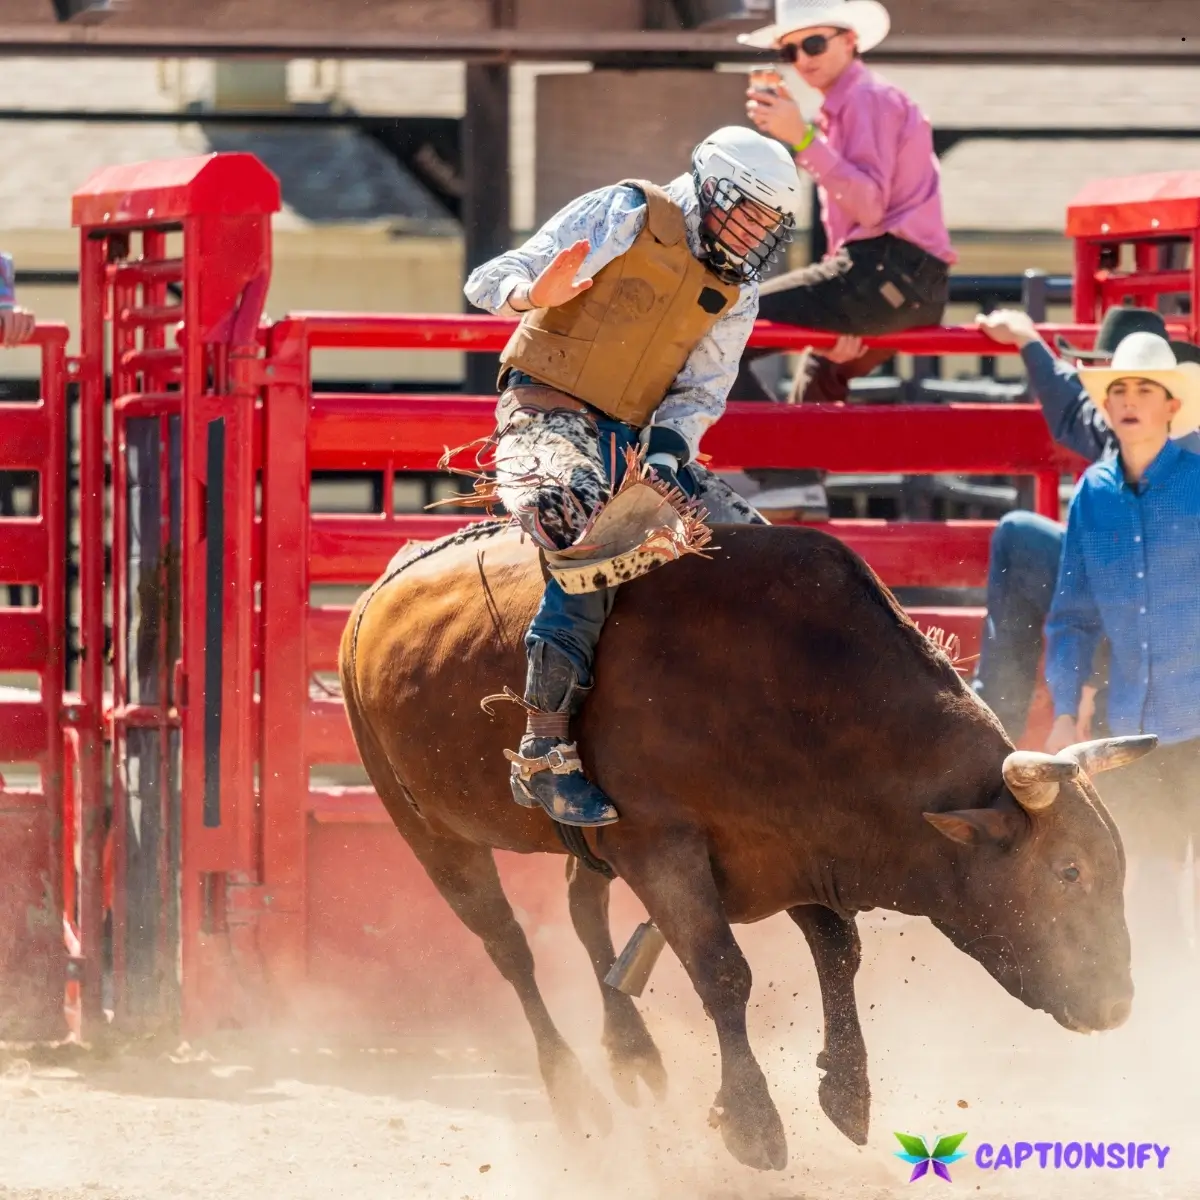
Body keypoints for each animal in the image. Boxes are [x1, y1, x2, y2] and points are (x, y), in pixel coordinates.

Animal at [338, 519, 1154, 1172]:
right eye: (1069, 871)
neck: (797, 692)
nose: (1117, 1005)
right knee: (508, 946)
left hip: (583, 835)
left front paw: (846, 1089)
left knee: (581, 909)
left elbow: (839, 954)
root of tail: (376, 593)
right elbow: (724, 972)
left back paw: (632, 1052)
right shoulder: (661, 848)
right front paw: (753, 1123)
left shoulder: (800, 850)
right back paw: (573, 1093)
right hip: (425, 828)